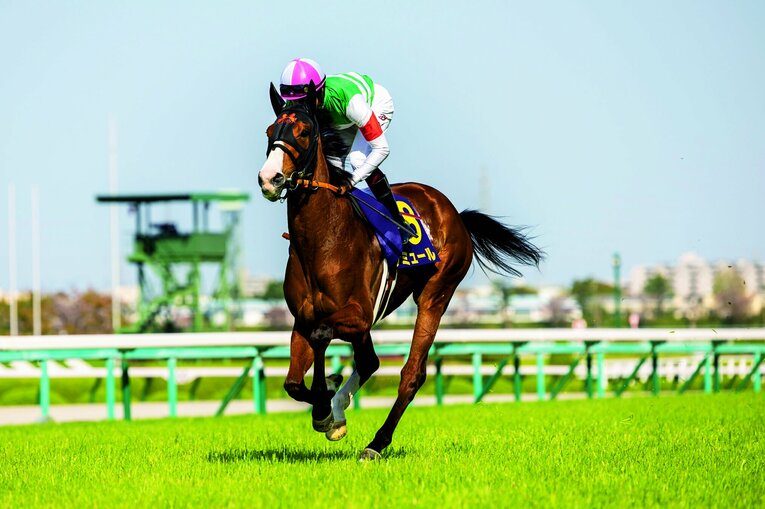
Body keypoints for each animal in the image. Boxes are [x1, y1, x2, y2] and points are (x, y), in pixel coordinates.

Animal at [257, 83, 543, 460]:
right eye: (269, 132)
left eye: (303, 132)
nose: (269, 178)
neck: (323, 240)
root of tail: (454, 213)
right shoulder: (302, 318)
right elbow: (292, 382)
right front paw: (328, 407)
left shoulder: (358, 315)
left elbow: (322, 337)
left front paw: (325, 406)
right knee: (370, 361)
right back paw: (341, 407)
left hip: (436, 294)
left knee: (411, 374)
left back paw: (376, 443)